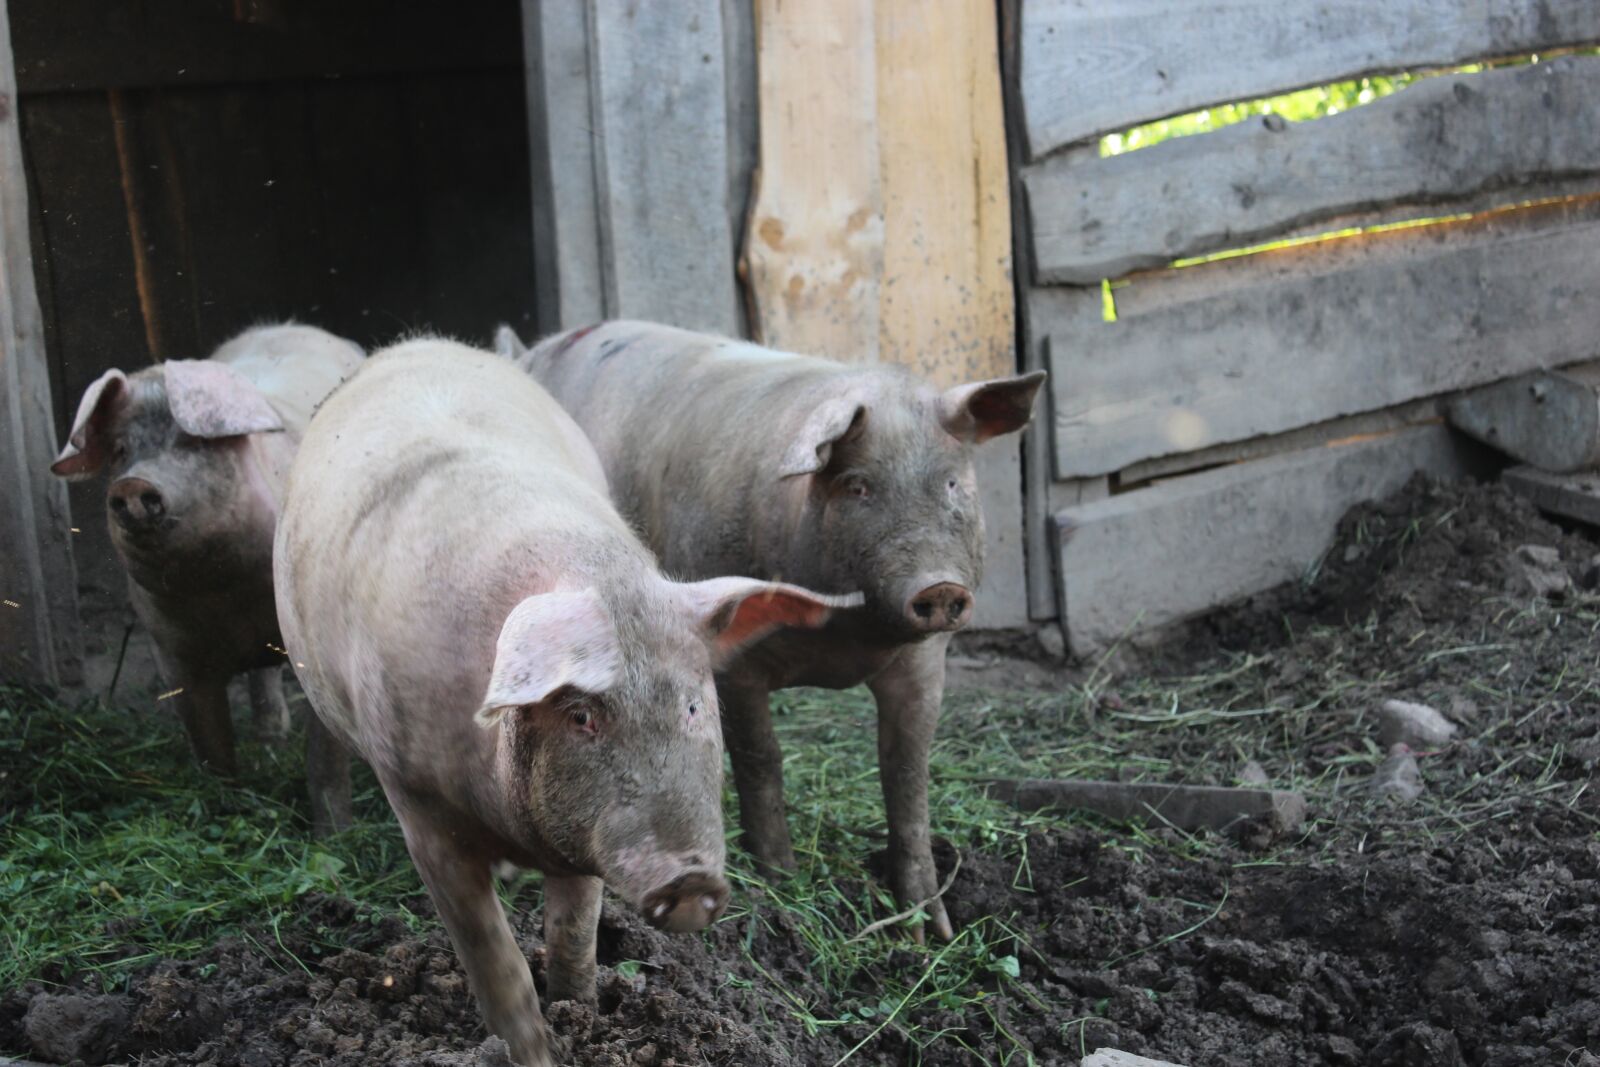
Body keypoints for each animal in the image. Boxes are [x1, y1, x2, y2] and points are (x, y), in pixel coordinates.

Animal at [50, 324, 363, 786]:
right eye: (122, 451)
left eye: (195, 441)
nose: (132, 485)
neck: (224, 593)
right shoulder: (177, 657)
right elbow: (211, 750)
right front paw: (226, 792)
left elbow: (325, 761)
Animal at [273, 339, 853, 1067]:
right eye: (582, 717)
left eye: (694, 706)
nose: (691, 881)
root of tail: (416, 344)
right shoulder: (415, 798)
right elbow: (491, 952)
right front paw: (535, 1051)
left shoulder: (584, 837)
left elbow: (575, 931)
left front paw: (585, 1017)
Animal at [498, 321, 1045, 941]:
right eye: (858, 486)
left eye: (953, 483)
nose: (940, 586)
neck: (842, 644)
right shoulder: (733, 664)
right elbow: (762, 757)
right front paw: (781, 882)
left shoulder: (922, 662)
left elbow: (907, 772)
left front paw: (929, 930)